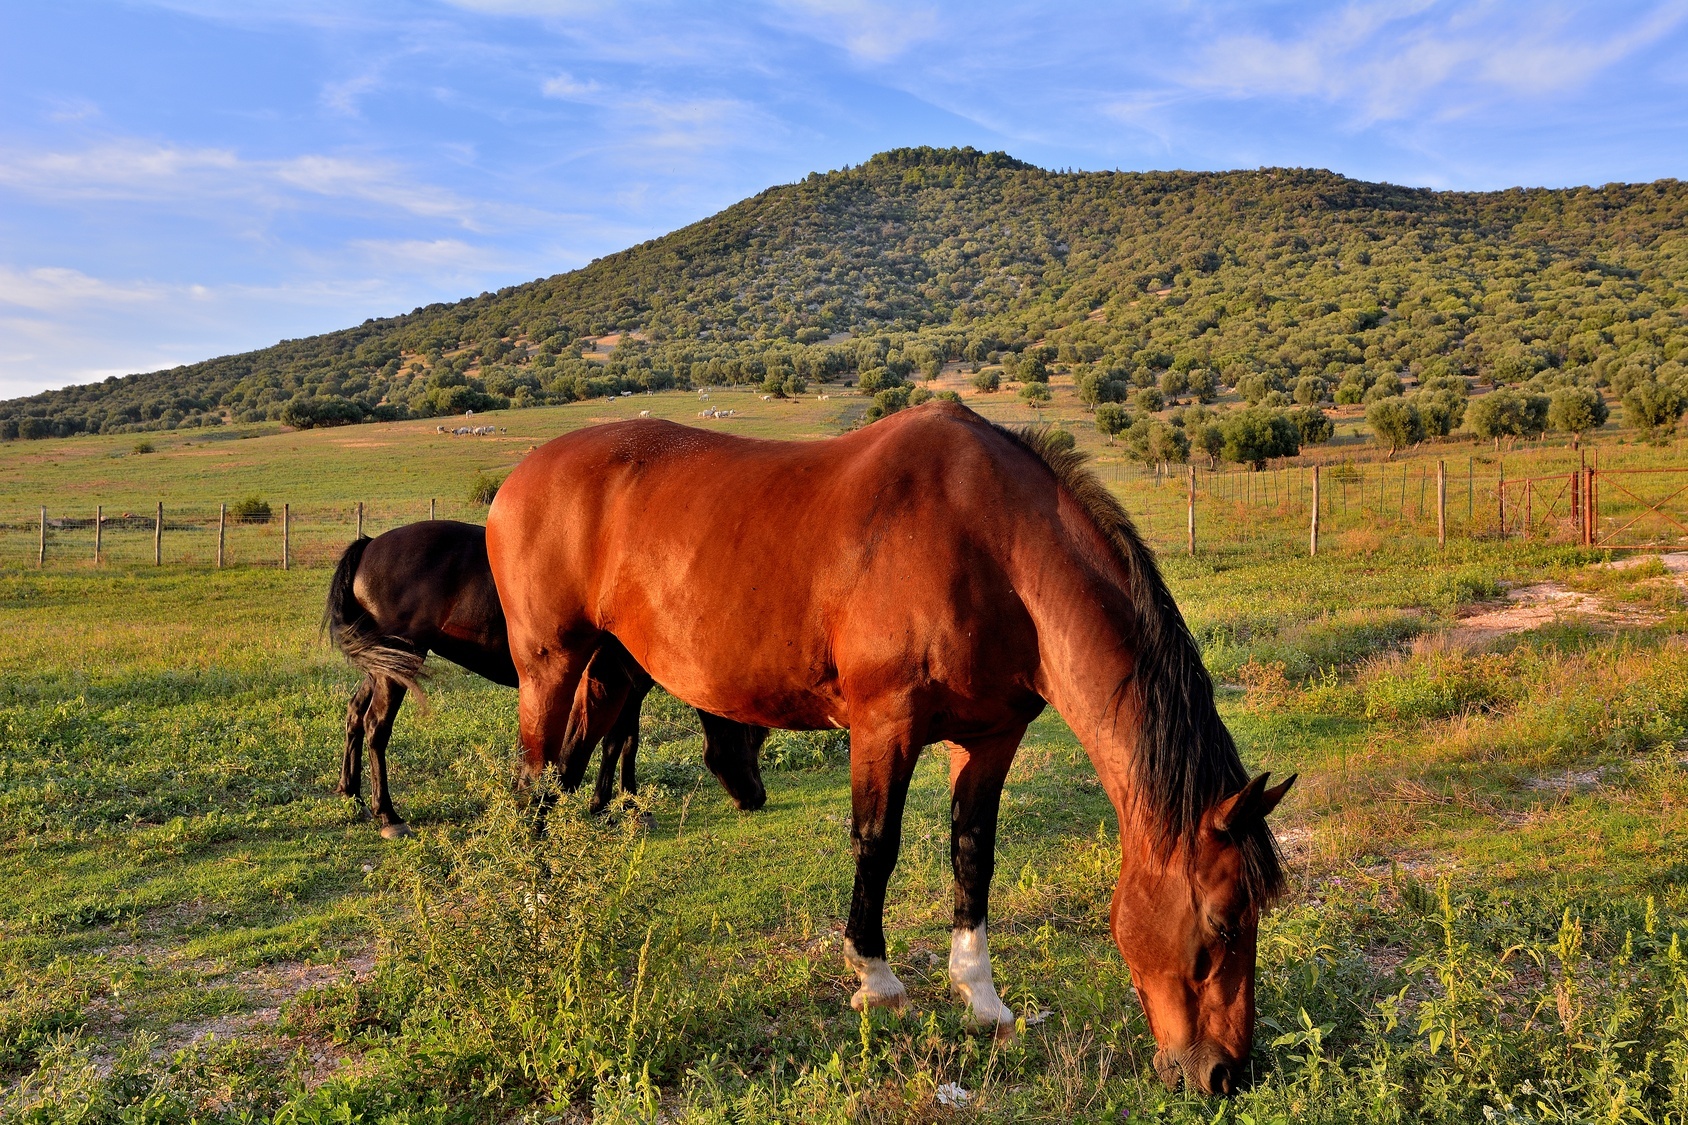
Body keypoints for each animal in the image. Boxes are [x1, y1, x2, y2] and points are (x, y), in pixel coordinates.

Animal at [324, 520, 773, 831]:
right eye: (756, 736)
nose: (757, 798)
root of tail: (369, 545)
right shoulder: (620, 683)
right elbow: (619, 743)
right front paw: (619, 806)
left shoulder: (626, 688)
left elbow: (622, 743)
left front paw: (615, 804)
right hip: (400, 661)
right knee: (376, 727)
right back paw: (387, 814)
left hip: (384, 663)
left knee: (354, 714)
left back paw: (351, 793)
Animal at [486, 405, 1289, 1094]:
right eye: (1224, 920)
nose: (1225, 1072)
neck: (992, 544)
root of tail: (518, 478)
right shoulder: (884, 724)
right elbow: (876, 843)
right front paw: (876, 981)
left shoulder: (990, 738)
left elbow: (973, 853)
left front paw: (982, 998)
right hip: (548, 666)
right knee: (533, 789)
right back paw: (535, 910)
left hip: (610, 667)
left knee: (564, 773)